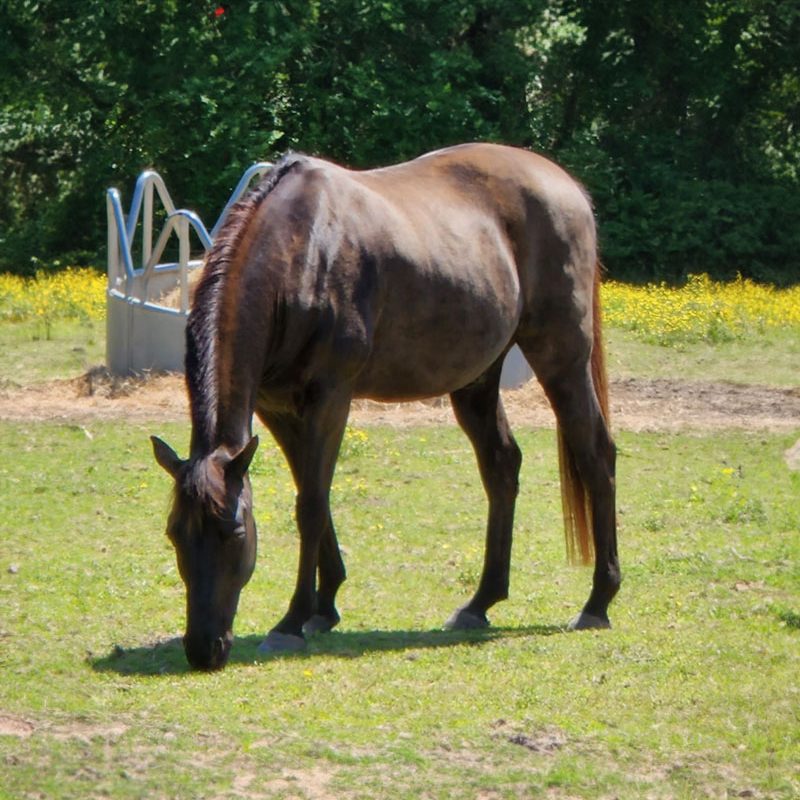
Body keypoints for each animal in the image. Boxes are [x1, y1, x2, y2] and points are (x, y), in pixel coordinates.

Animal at [151, 142, 620, 671]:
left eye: (233, 533)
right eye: (175, 533)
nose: (203, 648)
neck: (302, 253)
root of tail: (565, 185)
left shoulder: (331, 397)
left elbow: (310, 505)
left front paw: (291, 622)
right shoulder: (277, 409)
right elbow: (313, 494)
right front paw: (324, 606)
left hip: (562, 359)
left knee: (595, 455)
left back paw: (598, 601)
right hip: (476, 379)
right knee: (502, 467)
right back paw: (481, 603)